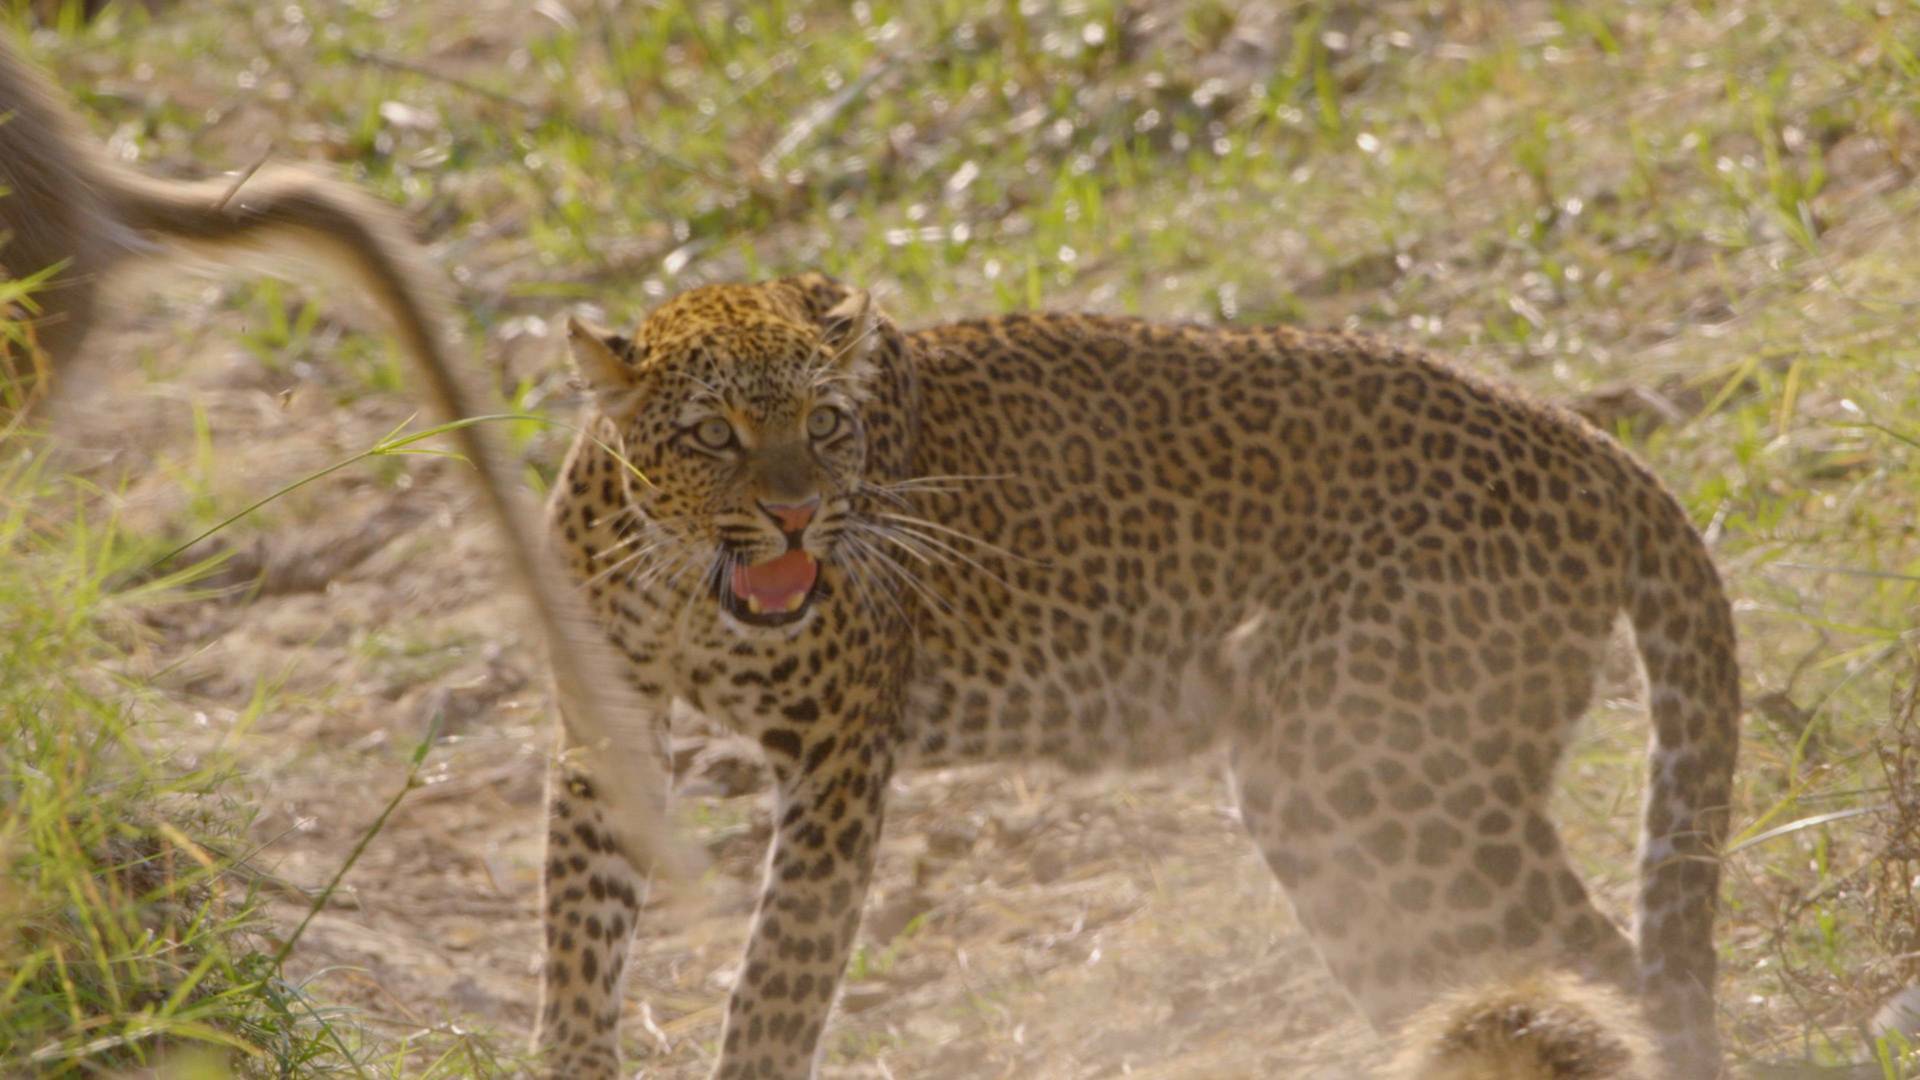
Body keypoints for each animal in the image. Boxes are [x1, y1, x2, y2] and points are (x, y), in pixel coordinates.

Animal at [529, 272, 1743, 1068]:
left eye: (827, 423)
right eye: (714, 434)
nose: (795, 512)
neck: (687, 584)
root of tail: (1589, 444)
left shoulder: (837, 759)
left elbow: (779, 980)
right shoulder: (606, 730)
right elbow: (578, 940)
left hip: (1374, 775)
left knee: (1609, 974)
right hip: (1350, 809)